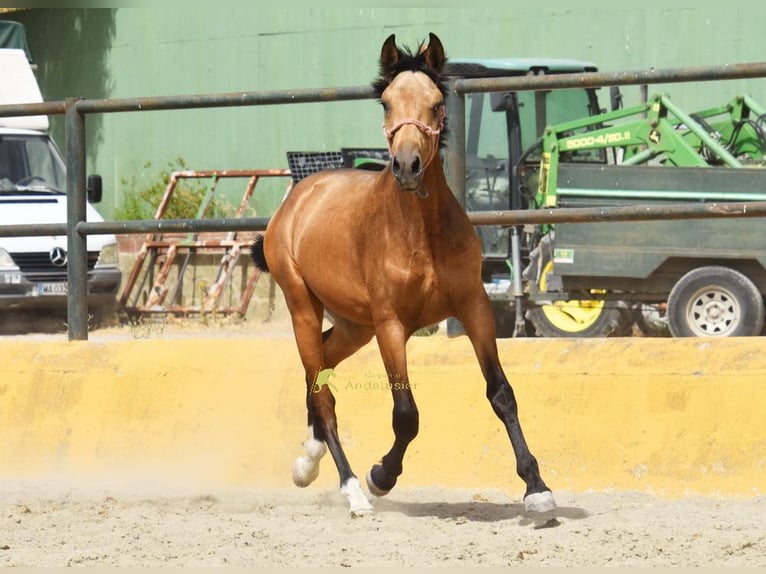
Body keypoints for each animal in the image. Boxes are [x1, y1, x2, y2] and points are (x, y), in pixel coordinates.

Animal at [250, 32, 555, 517]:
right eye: (387, 102)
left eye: (436, 103)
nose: (407, 165)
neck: (420, 231)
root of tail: (297, 197)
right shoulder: (392, 326)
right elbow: (406, 415)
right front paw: (381, 476)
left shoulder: (475, 307)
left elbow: (501, 393)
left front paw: (536, 487)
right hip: (304, 308)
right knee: (325, 395)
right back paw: (353, 490)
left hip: (355, 325)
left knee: (320, 372)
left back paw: (308, 459)